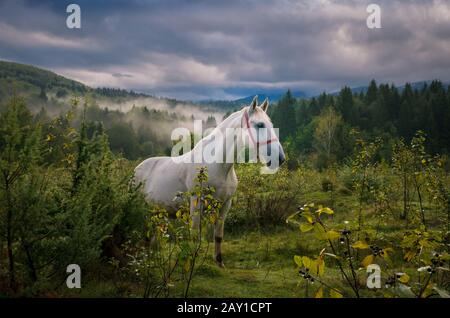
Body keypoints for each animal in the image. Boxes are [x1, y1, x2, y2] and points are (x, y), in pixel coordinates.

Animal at [134, 95, 284, 268]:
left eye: (271, 124)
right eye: (260, 125)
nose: (280, 158)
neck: (218, 166)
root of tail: (136, 170)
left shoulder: (225, 205)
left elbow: (218, 236)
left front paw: (219, 262)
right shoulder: (196, 204)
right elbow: (194, 236)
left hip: (157, 213)